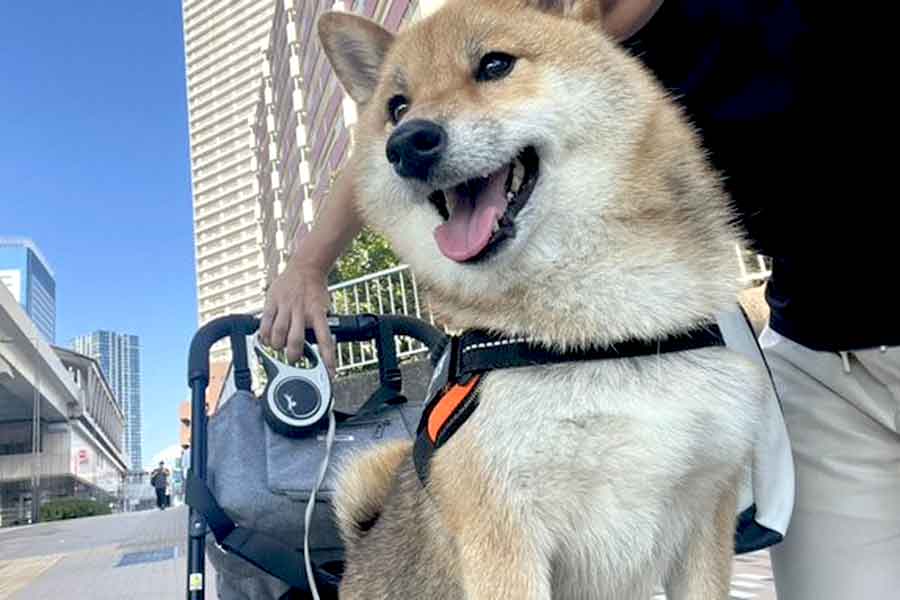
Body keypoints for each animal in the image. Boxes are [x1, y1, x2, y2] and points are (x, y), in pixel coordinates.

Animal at [316, 2, 768, 596]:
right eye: (397, 107)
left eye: (494, 65)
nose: (406, 143)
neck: (604, 340)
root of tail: (357, 551)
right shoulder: (504, 537)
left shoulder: (707, 518)